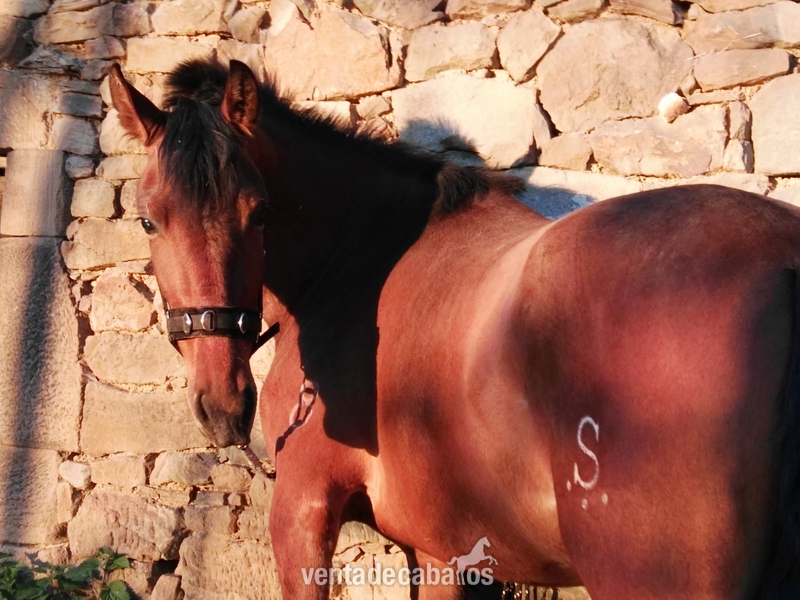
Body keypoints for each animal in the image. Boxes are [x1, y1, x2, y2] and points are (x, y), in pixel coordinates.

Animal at [107, 58, 800, 600]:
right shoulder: (440, 549)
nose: (222, 403)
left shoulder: (303, 509)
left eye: (260, 212)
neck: (356, 264)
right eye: (147, 220)